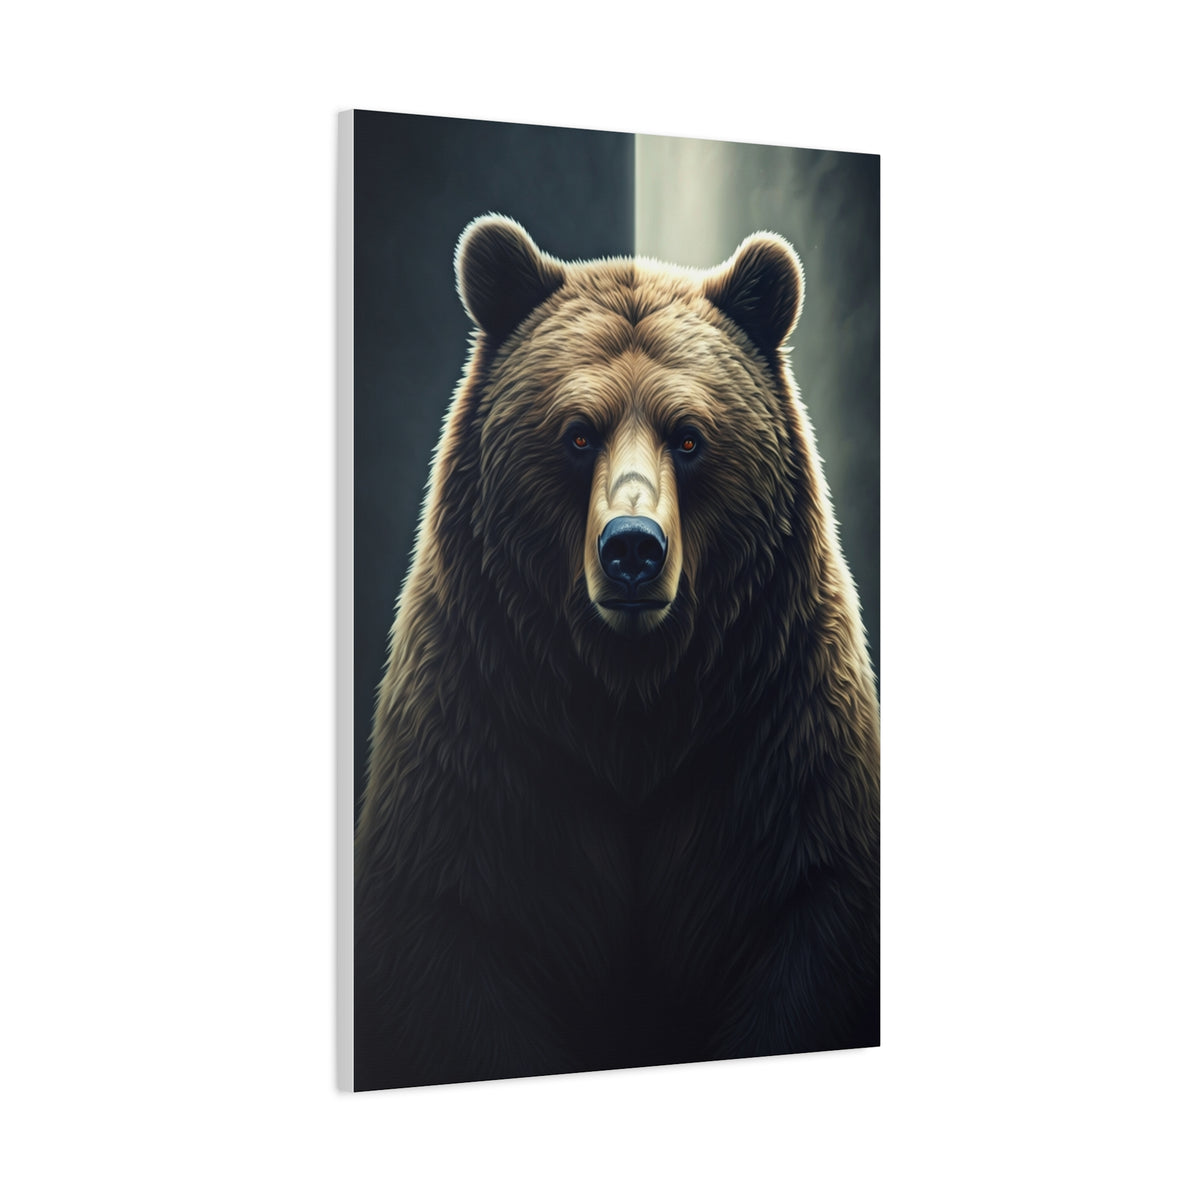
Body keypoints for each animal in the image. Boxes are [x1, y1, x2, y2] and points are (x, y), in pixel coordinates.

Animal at [354, 215, 880, 1090]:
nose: (632, 546)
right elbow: (455, 946)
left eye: (690, 437)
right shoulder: (481, 741)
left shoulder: (776, 743)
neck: (631, 705)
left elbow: (807, 919)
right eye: (576, 432)